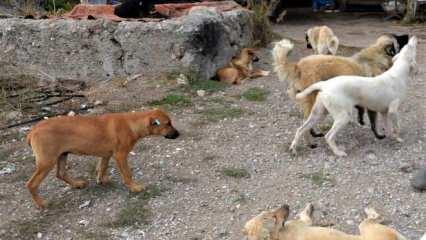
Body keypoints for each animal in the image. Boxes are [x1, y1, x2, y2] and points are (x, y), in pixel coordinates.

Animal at [26, 108, 180, 208]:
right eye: (168, 124)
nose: (178, 134)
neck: (131, 124)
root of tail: (33, 131)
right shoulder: (120, 155)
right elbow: (127, 174)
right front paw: (134, 187)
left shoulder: (106, 154)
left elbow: (102, 167)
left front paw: (101, 179)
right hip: (47, 161)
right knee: (31, 184)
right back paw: (41, 203)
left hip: (62, 155)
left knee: (61, 173)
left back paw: (77, 184)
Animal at [288, 35, 418, 156]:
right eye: (409, 47)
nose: (414, 37)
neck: (397, 73)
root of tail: (325, 84)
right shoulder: (393, 111)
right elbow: (396, 127)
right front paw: (398, 139)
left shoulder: (384, 112)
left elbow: (388, 128)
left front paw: (389, 137)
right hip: (343, 117)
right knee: (328, 136)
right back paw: (338, 152)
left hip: (318, 114)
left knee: (301, 129)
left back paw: (294, 148)